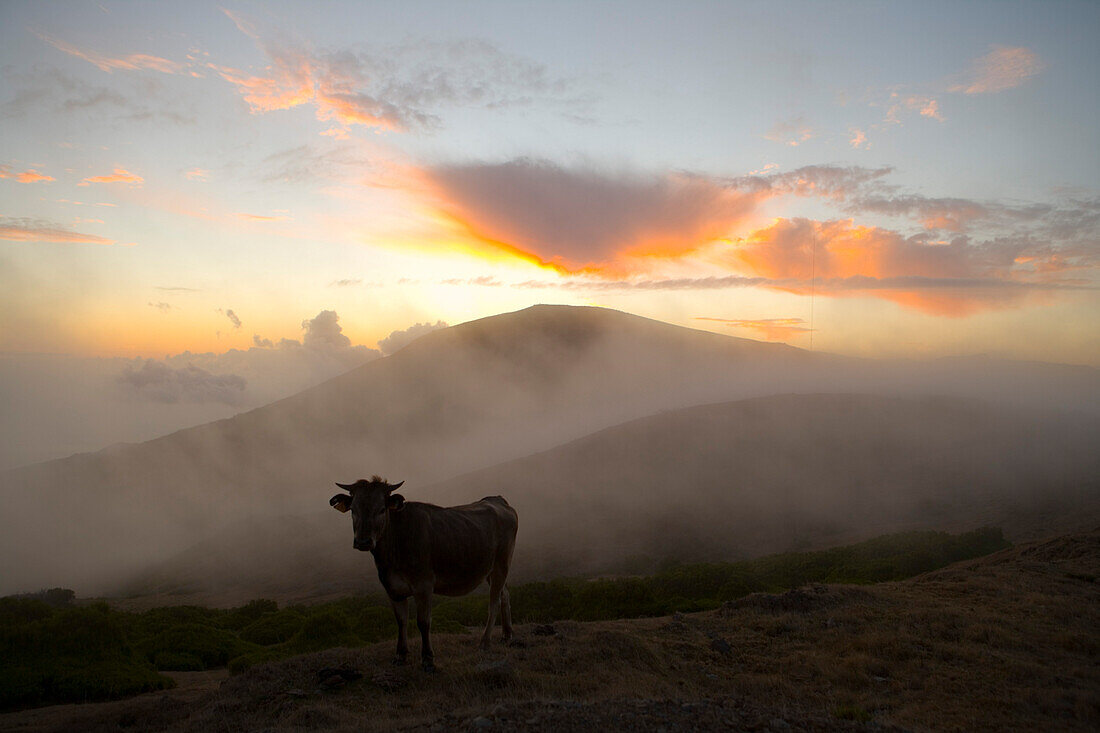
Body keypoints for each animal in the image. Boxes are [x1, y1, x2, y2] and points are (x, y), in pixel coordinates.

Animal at [327, 473, 517, 669]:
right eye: (353, 510)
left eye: (381, 509)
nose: (363, 541)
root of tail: (496, 500)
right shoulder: (392, 587)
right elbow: (401, 621)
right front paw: (400, 655)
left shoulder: (423, 585)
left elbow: (423, 622)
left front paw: (427, 658)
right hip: (490, 569)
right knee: (505, 595)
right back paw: (506, 635)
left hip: (502, 563)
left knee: (494, 602)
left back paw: (485, 642)